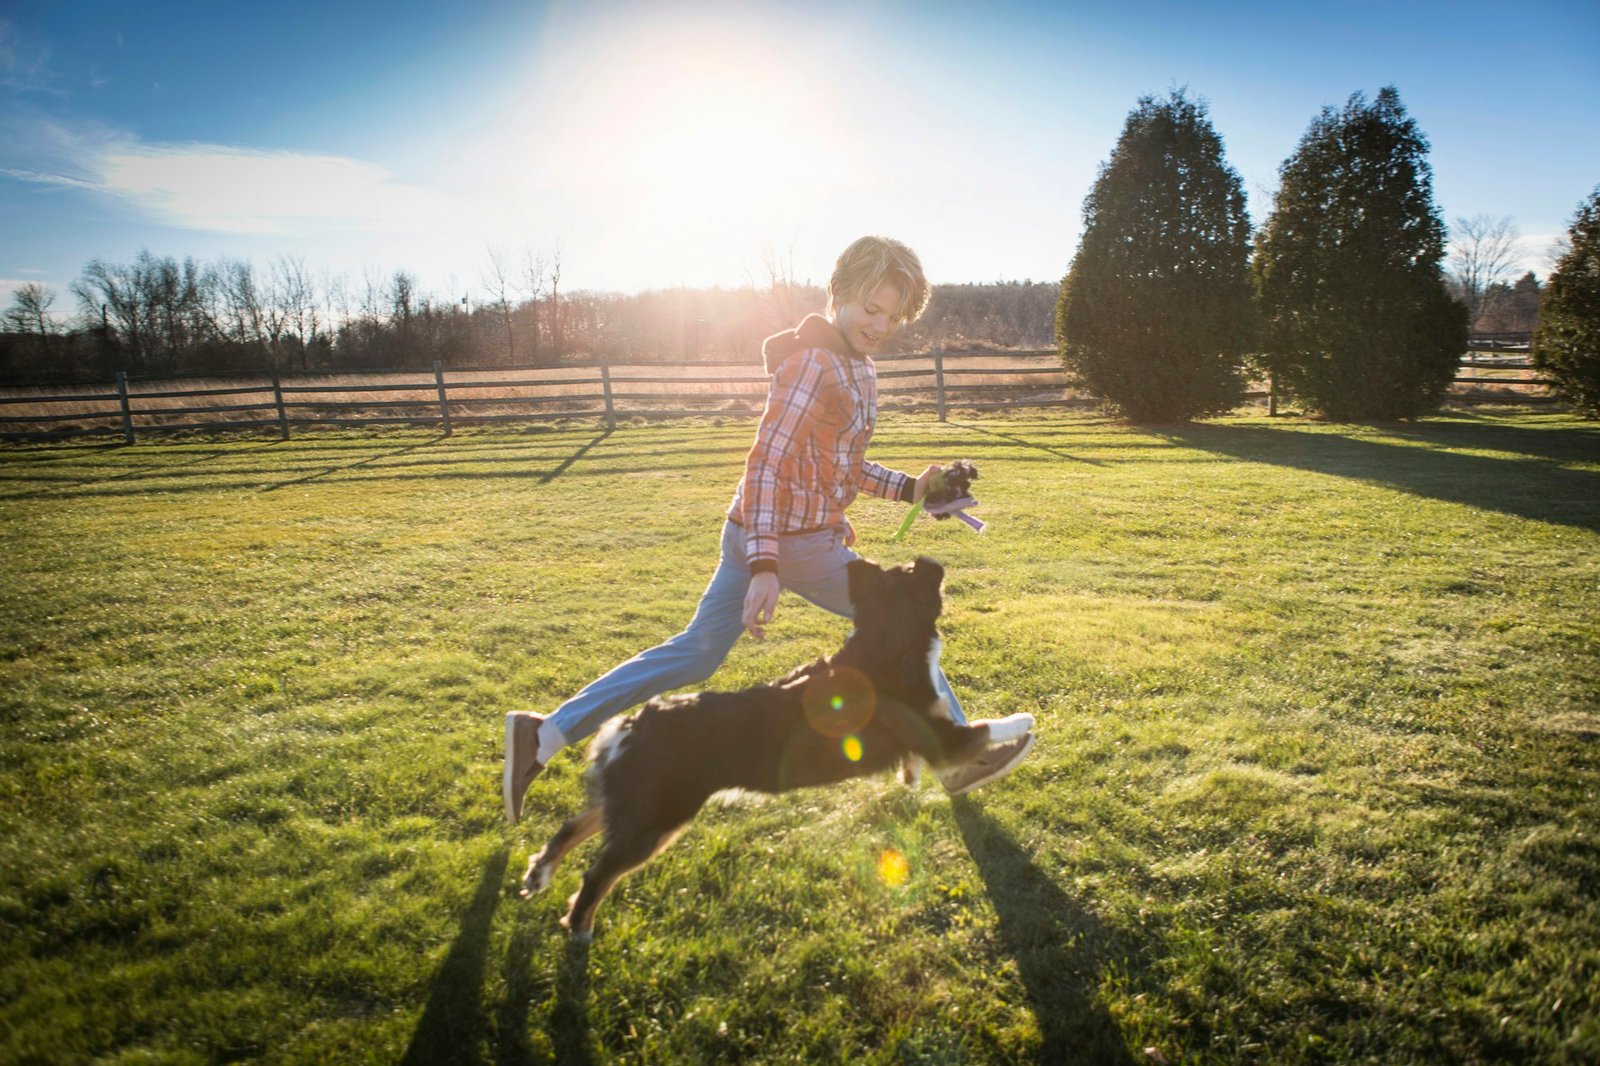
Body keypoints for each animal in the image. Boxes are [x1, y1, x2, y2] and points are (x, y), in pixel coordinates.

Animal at [518, 550, 1030, 934]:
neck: (887, 639)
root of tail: (631, 724)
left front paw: (912, 775)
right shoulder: (945, 738)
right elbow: (991, 726)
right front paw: (1027, 720)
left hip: (635, 802)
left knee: (573, 826)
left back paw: (538, 873)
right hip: (656, 819)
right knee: (596, 873)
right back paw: (579, 930)